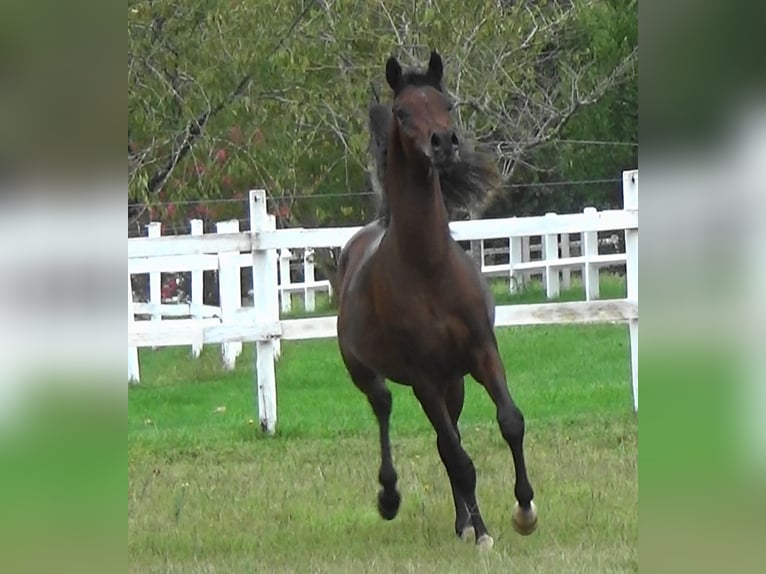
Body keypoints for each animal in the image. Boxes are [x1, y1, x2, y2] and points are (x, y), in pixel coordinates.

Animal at [336, 51, 540, 552]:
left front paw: (524, 510)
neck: (429, 269)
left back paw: (462, 520)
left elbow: (510, 422)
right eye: (403, 112)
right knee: (387, 411)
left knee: (447, 440)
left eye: (447, 104)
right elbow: (459, 457)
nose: (444, 143)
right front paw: (485, 533)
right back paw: (393, 498)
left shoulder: (481, 354)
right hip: (369, 373)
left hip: (455, 384)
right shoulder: (424, 376)